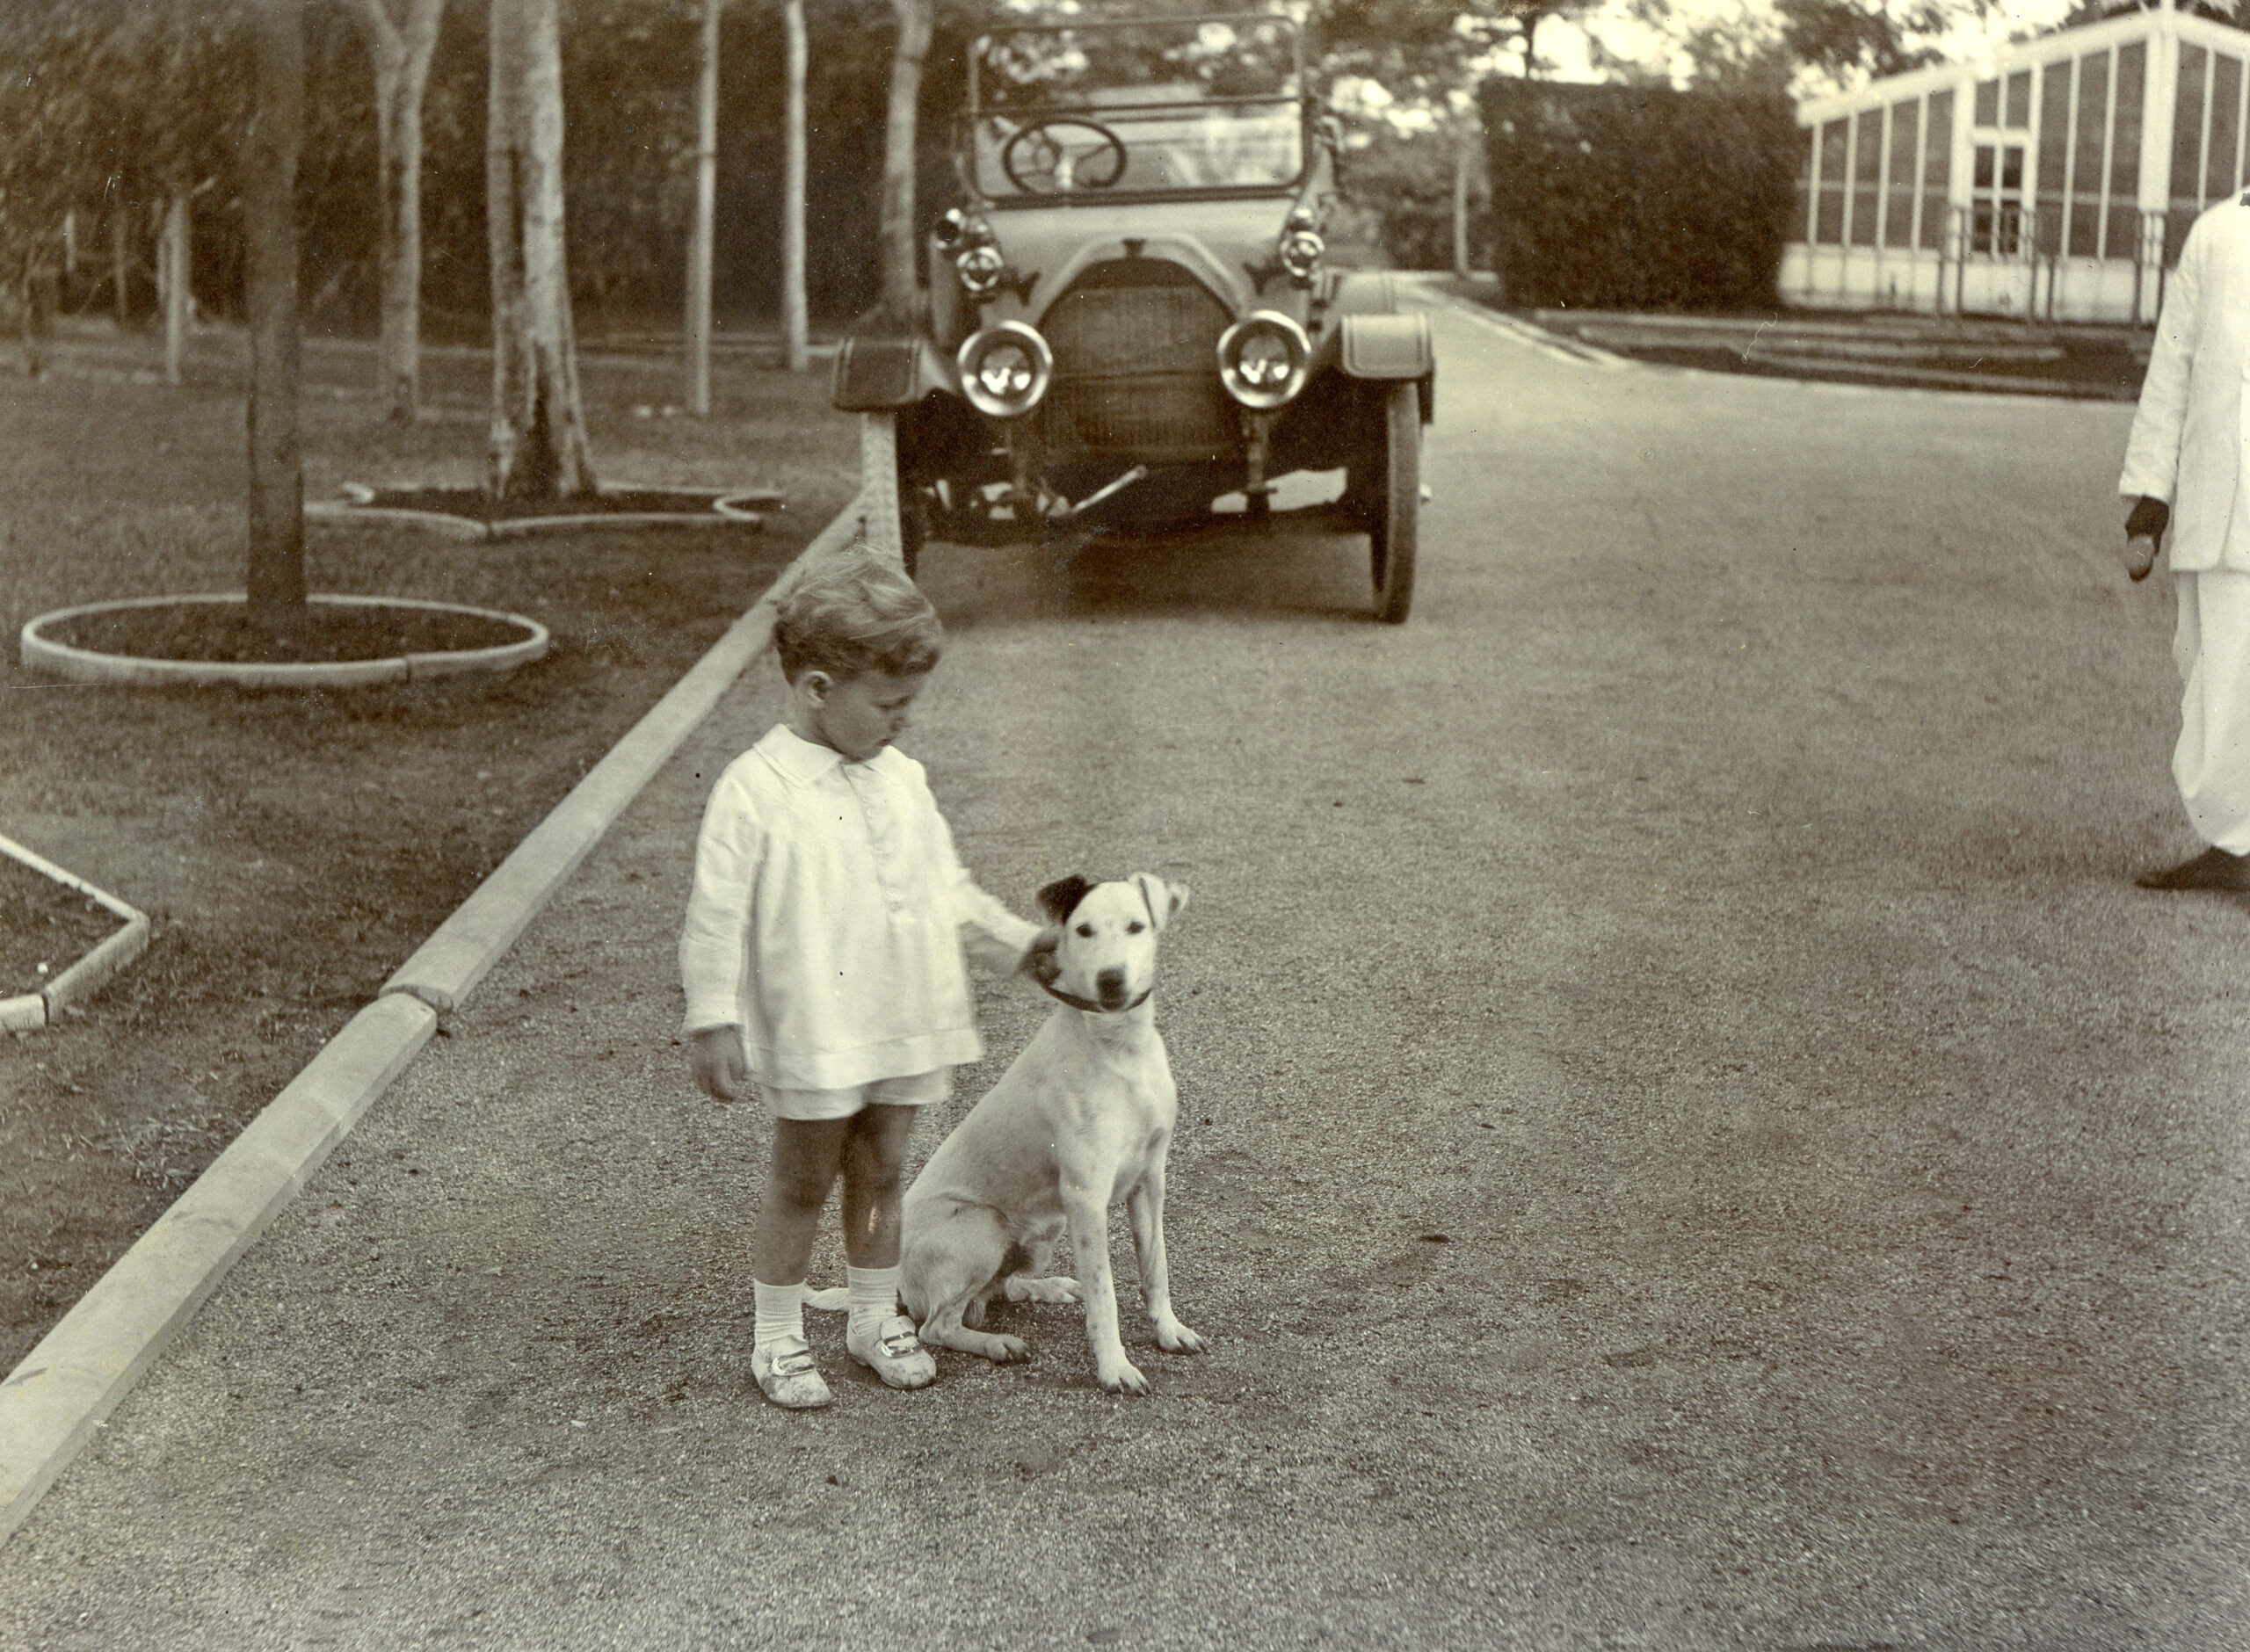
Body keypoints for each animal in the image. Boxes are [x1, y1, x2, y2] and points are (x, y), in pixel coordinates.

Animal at [899, 872, 1206, 1395]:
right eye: (1082, 930)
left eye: (1136, 926)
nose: (1111, 979)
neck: (1119, 1049)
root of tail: (896, 1282)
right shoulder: (1087, 1199)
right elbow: (1106, 1295)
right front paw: (1114, 1367)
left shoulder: (1149, 1181)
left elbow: (1156, 1268)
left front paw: (1168, 1330)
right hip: (983, 1226)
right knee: (937, 1326)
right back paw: (995, 1344)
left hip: (1044, 1230)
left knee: (1000, 1289)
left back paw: (1047, 1288)